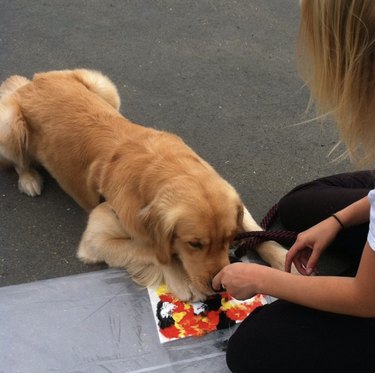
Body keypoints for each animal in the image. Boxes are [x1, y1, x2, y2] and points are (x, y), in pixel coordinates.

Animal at [0, 69, 290, 300]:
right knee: (20, 161)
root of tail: (32, 81)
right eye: (194, 244)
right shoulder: (95, 239)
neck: (166, 170)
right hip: (9, 124)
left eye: (229, 239)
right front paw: (182, 278)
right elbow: (149, 248)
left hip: (105, 87)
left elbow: (257, 230)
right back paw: (29, 179)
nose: (220, 288)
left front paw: (283, 258)